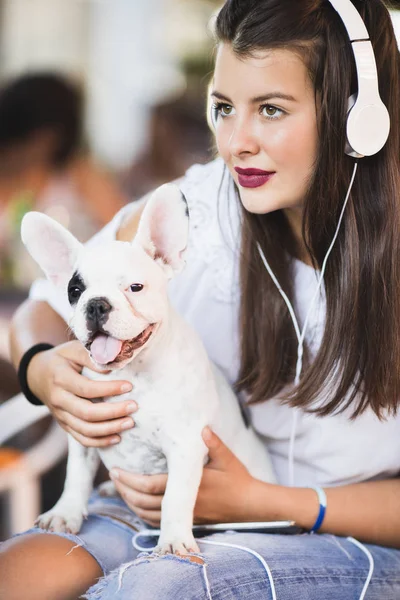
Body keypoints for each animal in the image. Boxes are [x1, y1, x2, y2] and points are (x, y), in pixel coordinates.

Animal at [21, 185, 276, 556]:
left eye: (135, 288)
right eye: (75, 291)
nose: (96, 305)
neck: (133, 374)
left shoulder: (185, 445)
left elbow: (175, 497)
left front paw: (173, 540)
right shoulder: (84, 435)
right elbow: (76, 476)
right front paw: (65, 513)